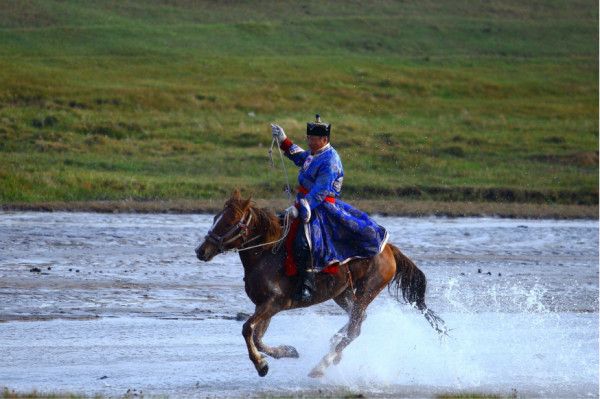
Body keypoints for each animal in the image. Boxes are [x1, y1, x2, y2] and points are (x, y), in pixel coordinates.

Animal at [197, 192, 446, 380]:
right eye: (215, 218)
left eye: (229, 222)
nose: (201, 251)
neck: (266, 255)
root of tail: (389, 249)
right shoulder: (264, 307)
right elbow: (258, 336)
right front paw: (286, 352)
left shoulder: (273, 303)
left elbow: (247, 329)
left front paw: (261, 365)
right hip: (343, 294)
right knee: (356, 322)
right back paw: (333, 348)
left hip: (367, 291)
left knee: (355, 327)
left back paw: (322, 365)